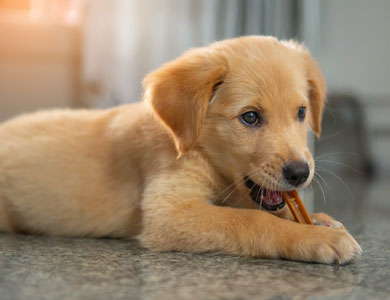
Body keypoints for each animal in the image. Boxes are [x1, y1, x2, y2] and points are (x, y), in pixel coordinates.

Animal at [0, 36, 362, 264]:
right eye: (250, 117)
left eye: (301, 113)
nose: (300, 173)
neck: (202, 151)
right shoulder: (169, 211)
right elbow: (252, 221)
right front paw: (317, 239)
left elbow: (264, 210)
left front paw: (319, 221)